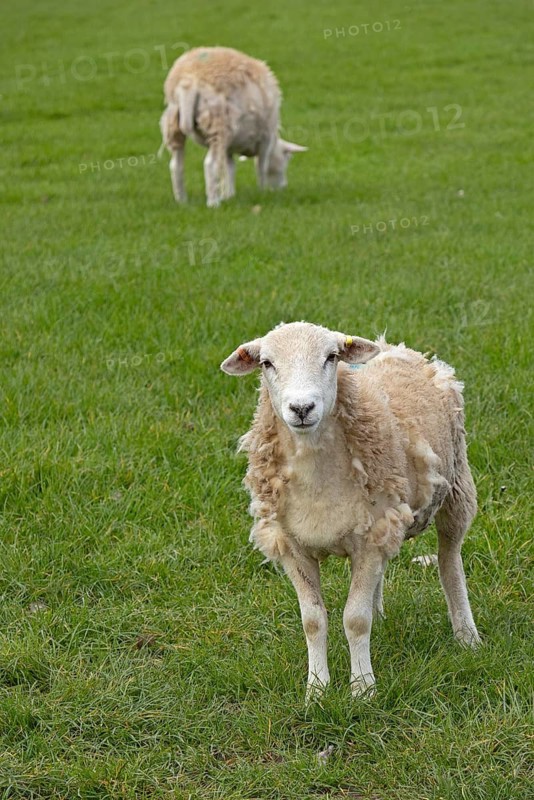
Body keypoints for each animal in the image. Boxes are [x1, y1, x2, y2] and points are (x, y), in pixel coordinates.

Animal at [160, 46, 307, 207]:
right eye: (288, 159)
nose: (283, 188)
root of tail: (188, 82)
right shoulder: (265, 138)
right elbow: (261, 166)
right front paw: (262, 192)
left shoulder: (229, 147)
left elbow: (229, 168)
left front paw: (229, 195)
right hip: (218, 123)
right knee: (210, 165)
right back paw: (213, 203)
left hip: (173, 124)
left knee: (176, 165)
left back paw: (182, 201)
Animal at [221, 321, 481, 700]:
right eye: (266, 363)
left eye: (331, 357)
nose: (302, 408)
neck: (317, 478)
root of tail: (394, 347)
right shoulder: (293, 546)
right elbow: (313, 621)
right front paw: (316, 690)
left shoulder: (369, 540)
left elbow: (355, 620)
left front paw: (362, 689)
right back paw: (381, 615)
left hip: (457, 485)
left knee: (450, 561)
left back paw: (466, 635)